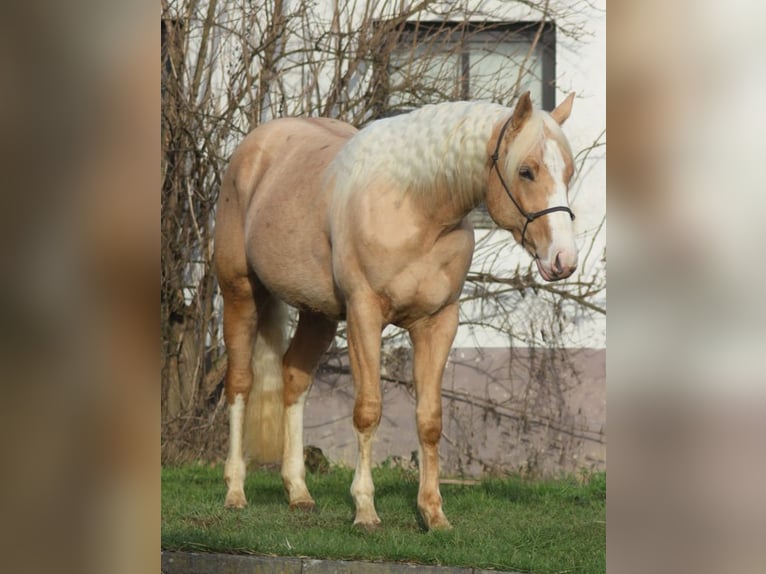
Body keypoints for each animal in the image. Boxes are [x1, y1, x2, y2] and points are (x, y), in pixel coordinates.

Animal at [214, 91, 578, 530]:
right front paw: (365, 510)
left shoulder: (439, 323)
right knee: (239, 383)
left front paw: (434, 514)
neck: (417, 210)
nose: (563, 259)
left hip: (319, 314)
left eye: (569, 172)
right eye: (526, 171)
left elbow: (430, 419)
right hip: (239, 293)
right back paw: (235, 492)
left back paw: (298, 492)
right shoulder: (364, 316)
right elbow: (368, 410)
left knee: (294, 378)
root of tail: (254, 147)